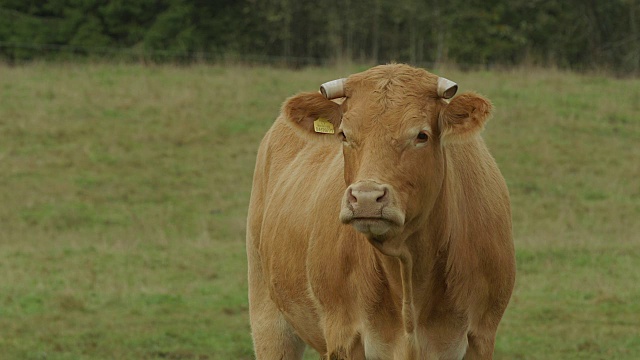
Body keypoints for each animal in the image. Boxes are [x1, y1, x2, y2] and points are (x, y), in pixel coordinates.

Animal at [245, 63, 516, 358]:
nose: (365, 197)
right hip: (268, 318)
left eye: (421, 135)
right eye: (344, 134)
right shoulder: (343, 336)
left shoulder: (480, 335)